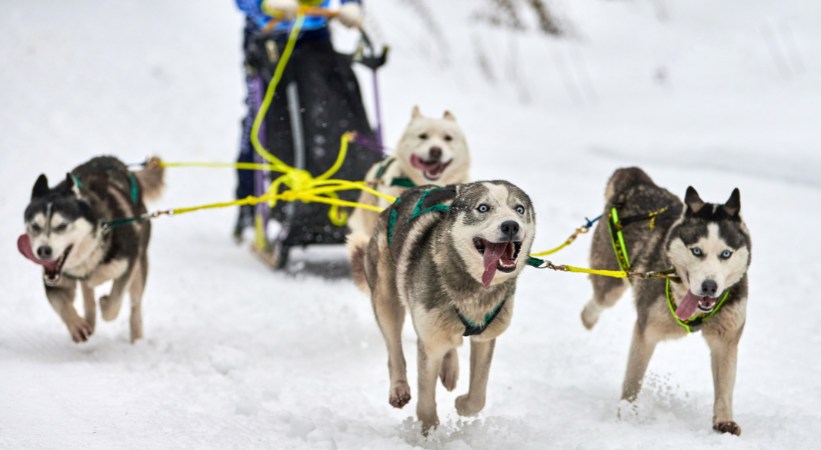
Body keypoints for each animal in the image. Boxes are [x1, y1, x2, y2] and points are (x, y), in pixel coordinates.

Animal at [18, 156, 164, 342]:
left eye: (62, 225)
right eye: (35, 226)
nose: (43, 251)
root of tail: (119, 163)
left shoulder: (127, 265)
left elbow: (114, 303)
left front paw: (105, 304)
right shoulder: (54, 280)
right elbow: (59, 303)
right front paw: (76, 325)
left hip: (139, 265)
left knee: (135, 304)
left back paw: (136, 337)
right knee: (88, 293)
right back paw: (89, 320)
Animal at [348, 181, 536, 434]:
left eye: (519, 209)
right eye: (483, 208)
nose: (511, 225)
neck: (474, 289)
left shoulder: (485, 337)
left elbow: (478, 396)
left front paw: (463, 405)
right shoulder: (430, 343)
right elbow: (426, 400)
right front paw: (428, 432)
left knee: (452, 344)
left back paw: (450, 370)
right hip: (387, 301)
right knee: (394, 349)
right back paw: (399, 387)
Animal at [576, 167, 748, 434]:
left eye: (726, 254)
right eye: (696, 251)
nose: (709, 287)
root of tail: (637, 180)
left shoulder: (726, 338)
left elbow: (724, 386)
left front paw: (724, 421)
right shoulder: (646, 331)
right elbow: (633, 379)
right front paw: (627, 413)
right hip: (610, 280)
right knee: (599, 300)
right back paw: (588, 319)